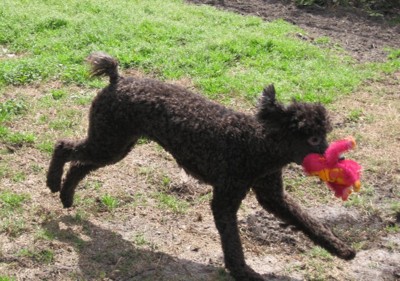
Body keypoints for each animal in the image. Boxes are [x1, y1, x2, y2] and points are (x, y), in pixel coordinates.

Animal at [47, 52, 356, 280]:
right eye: (314, 138)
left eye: (325, 134)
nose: (340, 160)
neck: (259, 143)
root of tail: (117, 80)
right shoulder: (225, 200)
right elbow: (232, 241)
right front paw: (243, 271)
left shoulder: (272, 196)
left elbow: (308, 222)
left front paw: (342, 249)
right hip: (109, 142)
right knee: (63, 146)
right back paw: (52, 183)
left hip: (116, 146)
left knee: (79, 165)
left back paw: (66, 196)